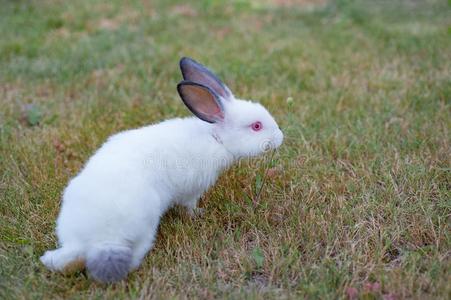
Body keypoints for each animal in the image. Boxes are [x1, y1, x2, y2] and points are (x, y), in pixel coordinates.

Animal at [41, 56, 282, 284]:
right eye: (256, 126)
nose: (280, 137)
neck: (216, 138)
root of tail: (92, 240)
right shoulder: (191, 190)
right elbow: (189, 205)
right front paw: (198, 214)